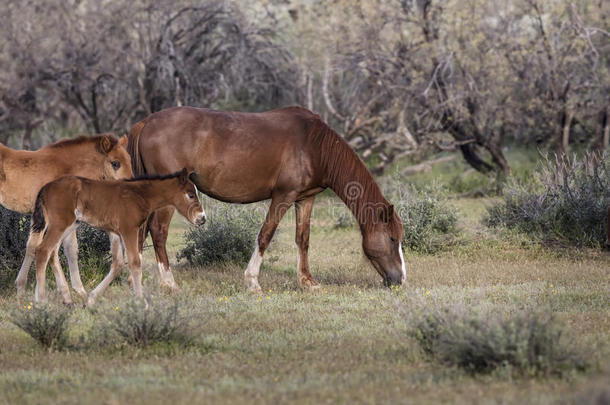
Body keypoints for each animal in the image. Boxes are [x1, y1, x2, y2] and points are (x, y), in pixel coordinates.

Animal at [0, 134, 132, 302]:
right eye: (115, 163)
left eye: (129, 160)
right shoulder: (53, 220)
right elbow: (52, 250)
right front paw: (67, 292)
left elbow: (53, 248)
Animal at [29, 167, 204, 304]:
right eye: (190, 195)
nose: (202, 218)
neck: (139, 194)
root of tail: (45, 188)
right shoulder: (129, 230)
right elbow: (134, 262)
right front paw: (141, 302)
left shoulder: (117, 233)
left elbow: (118, 264)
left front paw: (91, 299)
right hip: (60, 224)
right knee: (43, 251)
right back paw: (41, 300)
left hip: (70, 224)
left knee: (52, 253)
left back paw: (67, 299)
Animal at [128, 105, 404, 292]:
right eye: (392, 238)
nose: (400, 279)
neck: (314, 145)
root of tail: (146, 122)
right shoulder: (283, 195)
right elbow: (266, 234)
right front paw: (252, 282)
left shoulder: (305, 199)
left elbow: (303, 238)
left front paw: (307, 281)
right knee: (158, 232)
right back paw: (169, 283)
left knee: (141, 232)